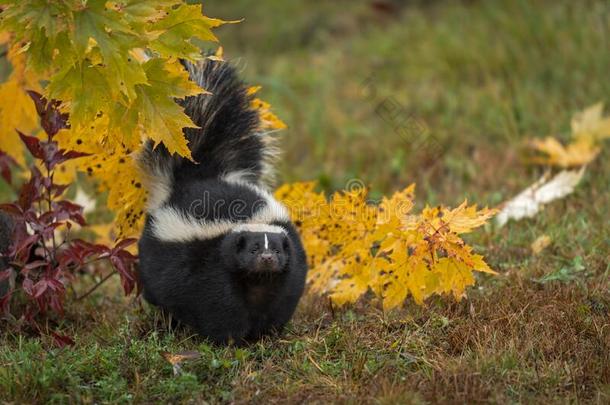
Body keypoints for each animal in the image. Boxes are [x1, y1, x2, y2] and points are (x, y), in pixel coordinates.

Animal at [138, 58, 308, 342]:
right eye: (253, 249)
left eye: (275, 249)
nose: (267, 259)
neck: (256, 280)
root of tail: (196, 177)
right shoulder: (209, 268)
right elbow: (219, 305)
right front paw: (231, 339)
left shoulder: (289, 268)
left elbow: (282, 300)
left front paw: (268, 333)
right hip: (155, 258)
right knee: (158, 293)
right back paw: (170, 322)